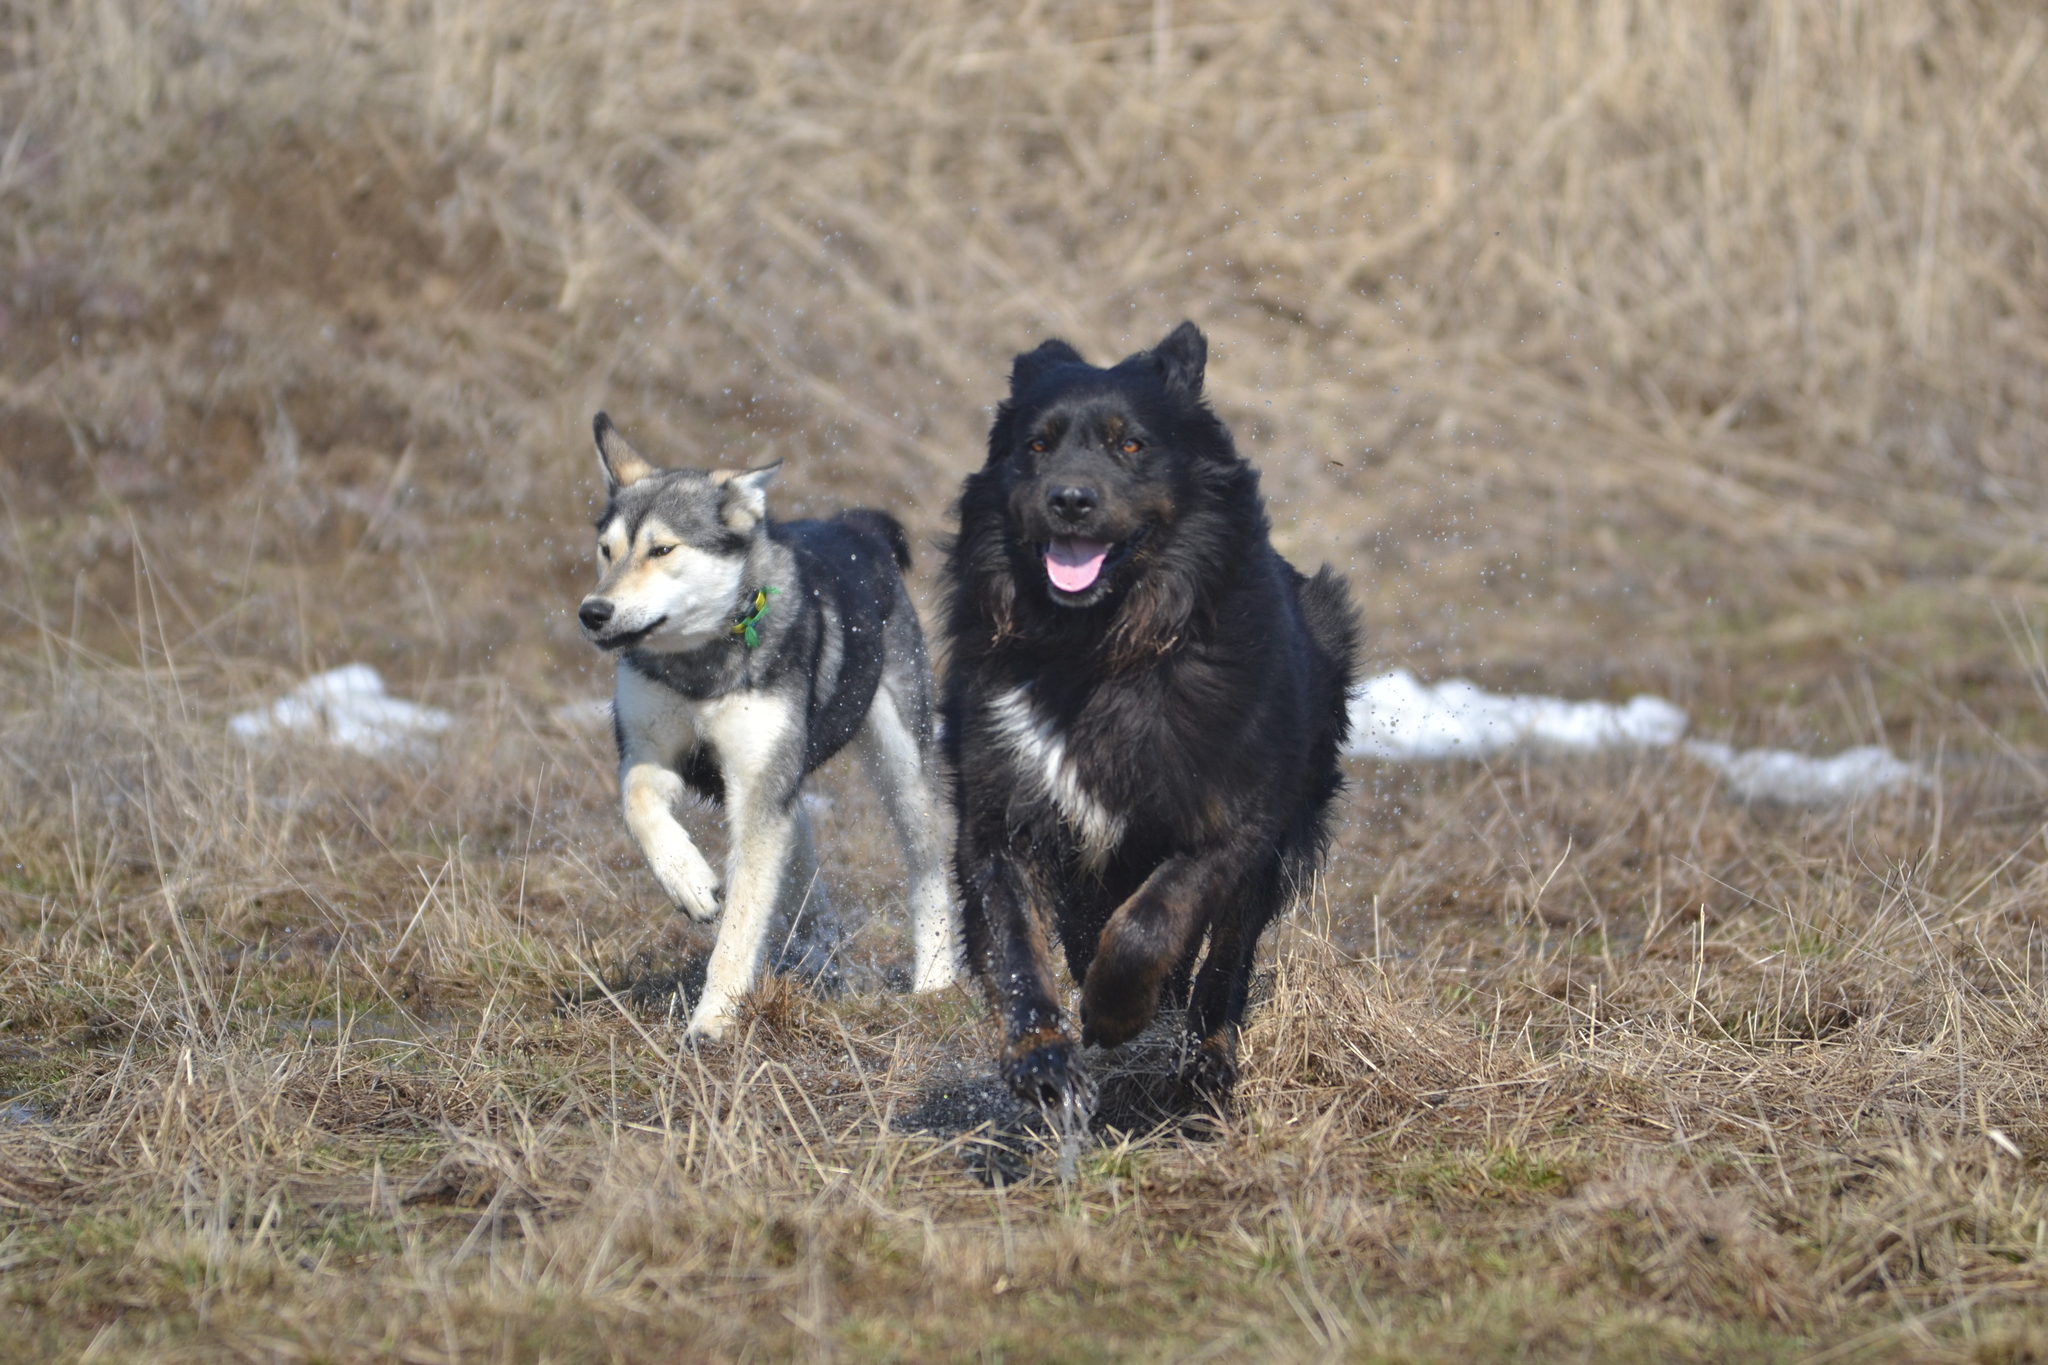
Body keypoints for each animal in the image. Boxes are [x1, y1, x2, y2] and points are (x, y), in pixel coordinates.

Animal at [942, 325, 1359, 1113]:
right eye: (1035, 446)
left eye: (1130, 444)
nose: (1070, 500)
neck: (1099, 649)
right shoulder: (1001, 810)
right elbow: (1015, 939)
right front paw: (1042, 1056)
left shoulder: (1233, 820)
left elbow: (1150, 922)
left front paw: (1113, 1012)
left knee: (1224, 961)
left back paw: (1206, 1063)